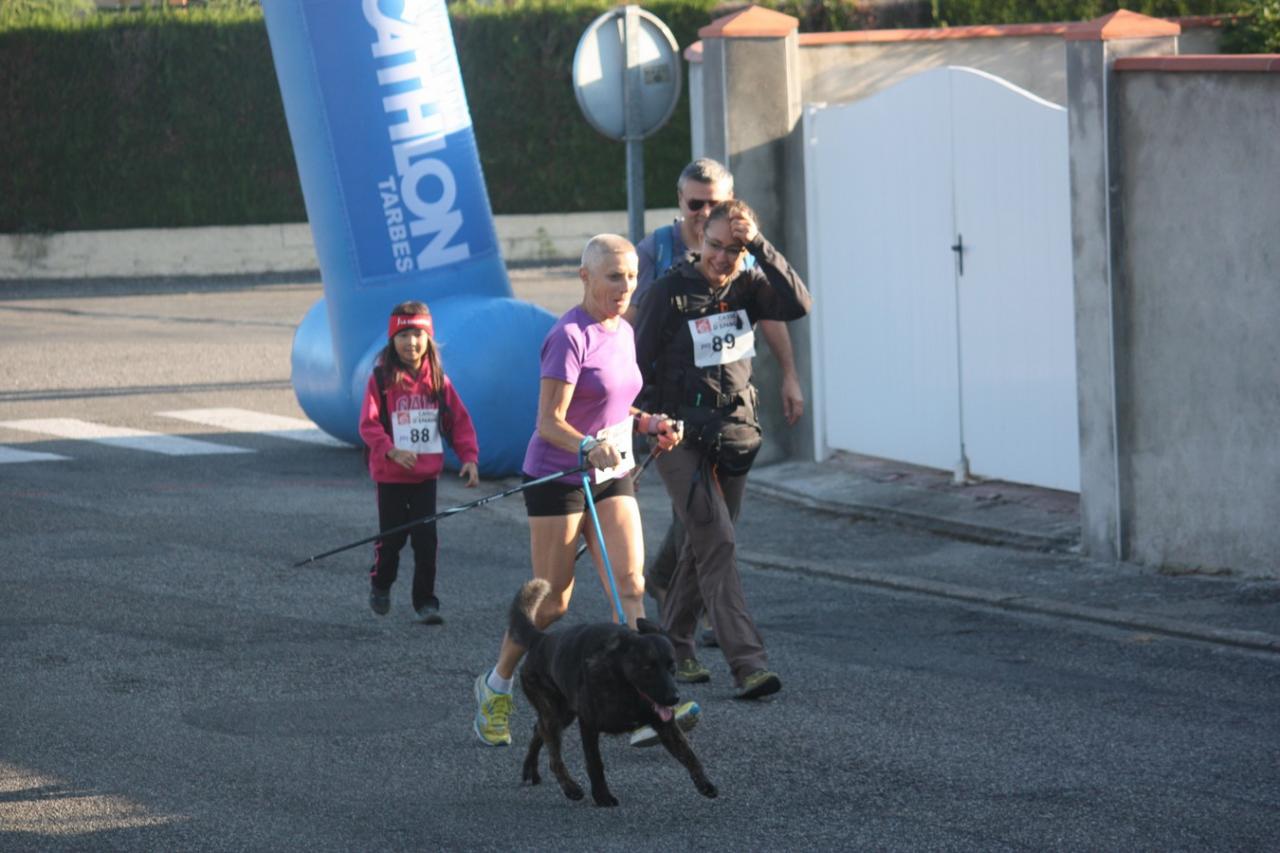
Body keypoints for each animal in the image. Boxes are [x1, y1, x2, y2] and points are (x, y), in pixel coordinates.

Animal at [509, 578, 718, 807]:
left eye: (672, 667)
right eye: (648, 668)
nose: (674, 699)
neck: (624, 684)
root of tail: (540, 639)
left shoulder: (666, 725)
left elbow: (689, 755)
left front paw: (705, 783)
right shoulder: (588, 724)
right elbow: (595, 762)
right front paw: (602, 796)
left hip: (563, 714)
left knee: (538, 730)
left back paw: (531, 769)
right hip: (555, 713)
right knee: (554, 757)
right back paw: (570, 788)